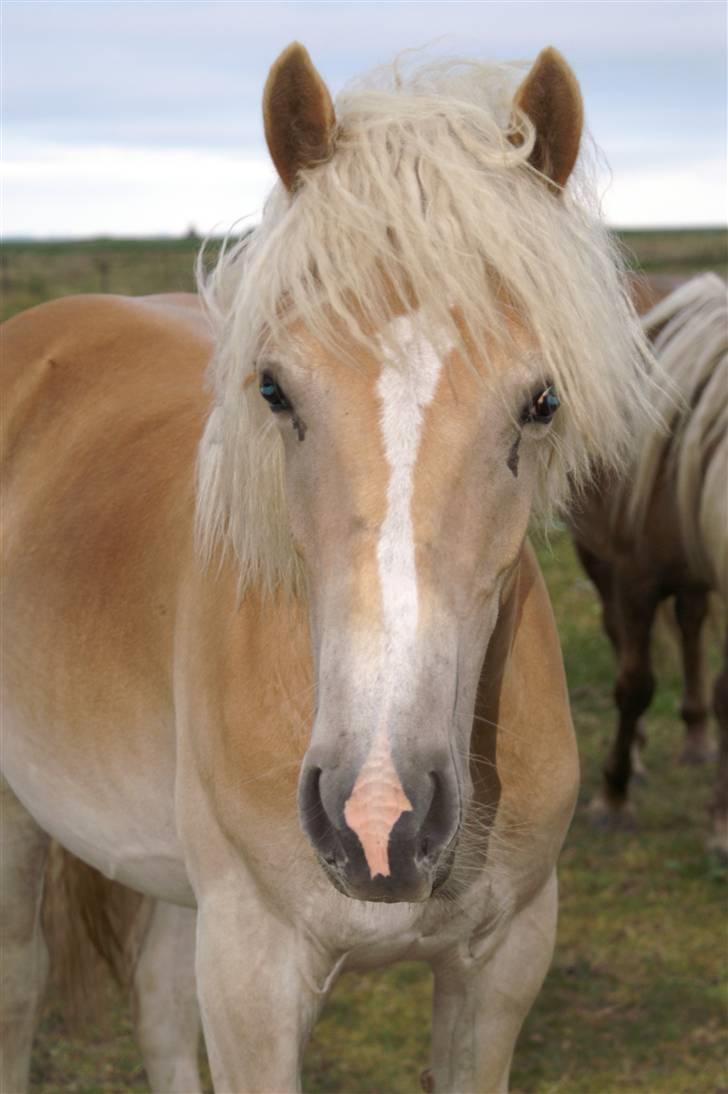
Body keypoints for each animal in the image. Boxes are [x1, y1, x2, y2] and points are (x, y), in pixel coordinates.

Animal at [0, 42, 656, 1094]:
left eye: (543, 401)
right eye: (274, 389)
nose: (379, 817)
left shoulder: (504, 965)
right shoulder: (252, 976)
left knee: (155, 1004)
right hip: (23, 823)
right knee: (20, 988)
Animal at [569, 273, 726, 853]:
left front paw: (721, 823)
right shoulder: (634, 577)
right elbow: (634, 686)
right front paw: (612, 797)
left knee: (690, 622)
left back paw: (698, 735)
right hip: (598, 555)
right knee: (619, 636)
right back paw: (634, 756)